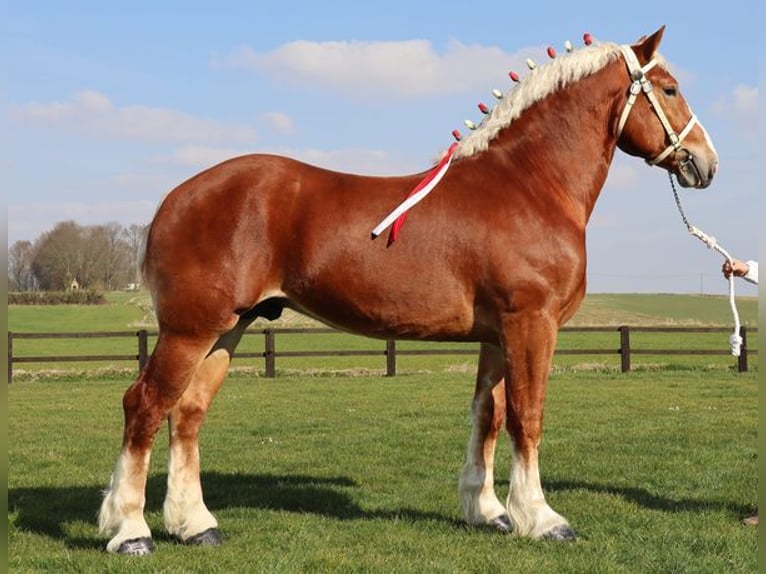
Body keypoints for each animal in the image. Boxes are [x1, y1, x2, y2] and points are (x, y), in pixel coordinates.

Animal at [98, 26, 718, 554]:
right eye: (670, 88)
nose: (706, 164)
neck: (528, 183)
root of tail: (176, 196)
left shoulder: (497, 335)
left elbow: (488, 415)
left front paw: (488, 512)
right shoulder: (531, 324)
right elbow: (527, 416)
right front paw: (541, 519)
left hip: (229, 329)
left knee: (188, 413)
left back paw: (195, 525)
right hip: (191, 329)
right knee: (145, 405)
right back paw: (131, 530)